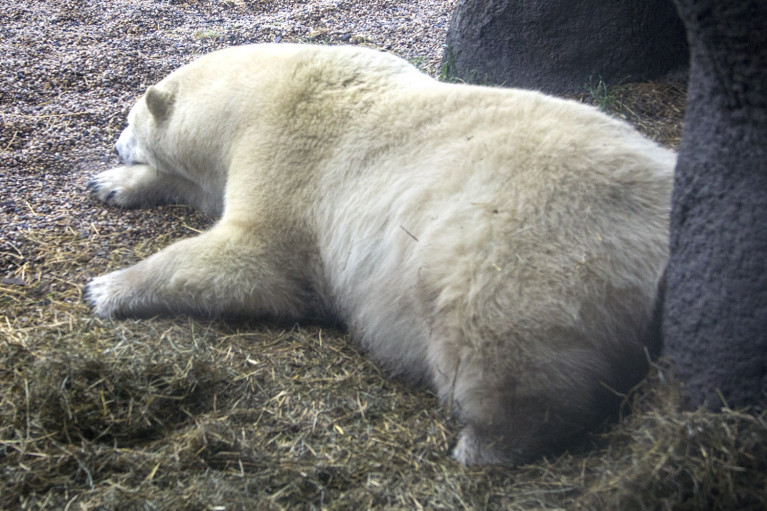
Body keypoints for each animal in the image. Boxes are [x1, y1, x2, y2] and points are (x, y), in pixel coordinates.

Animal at [82, 44, 672, 468]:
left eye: (129, 123)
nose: (114, 145)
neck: (261, 96)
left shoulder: (288, 157)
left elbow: (256, 260)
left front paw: (108, 287)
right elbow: (202, 191)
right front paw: (110, 184)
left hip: (524, 253)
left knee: (498, 346)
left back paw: (483, 444)